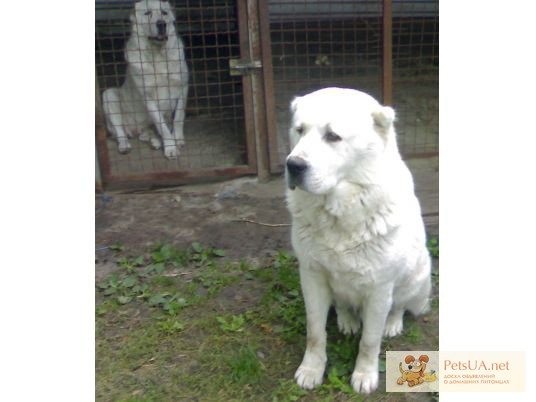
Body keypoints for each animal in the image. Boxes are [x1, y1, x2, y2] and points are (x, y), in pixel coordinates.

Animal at [102, 0, 188, 160]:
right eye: (148, 13)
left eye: (164, 13)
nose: (161, 24)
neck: (158, 55)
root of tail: (136, 129)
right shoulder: (148, 97)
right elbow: (161, 125)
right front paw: (170, 148)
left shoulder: (183, 87)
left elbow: (178, 117)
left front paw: (177, 139)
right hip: (109, 95)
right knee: (120, 131)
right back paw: (125, 145)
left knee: (146, 133)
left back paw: (154, 140)